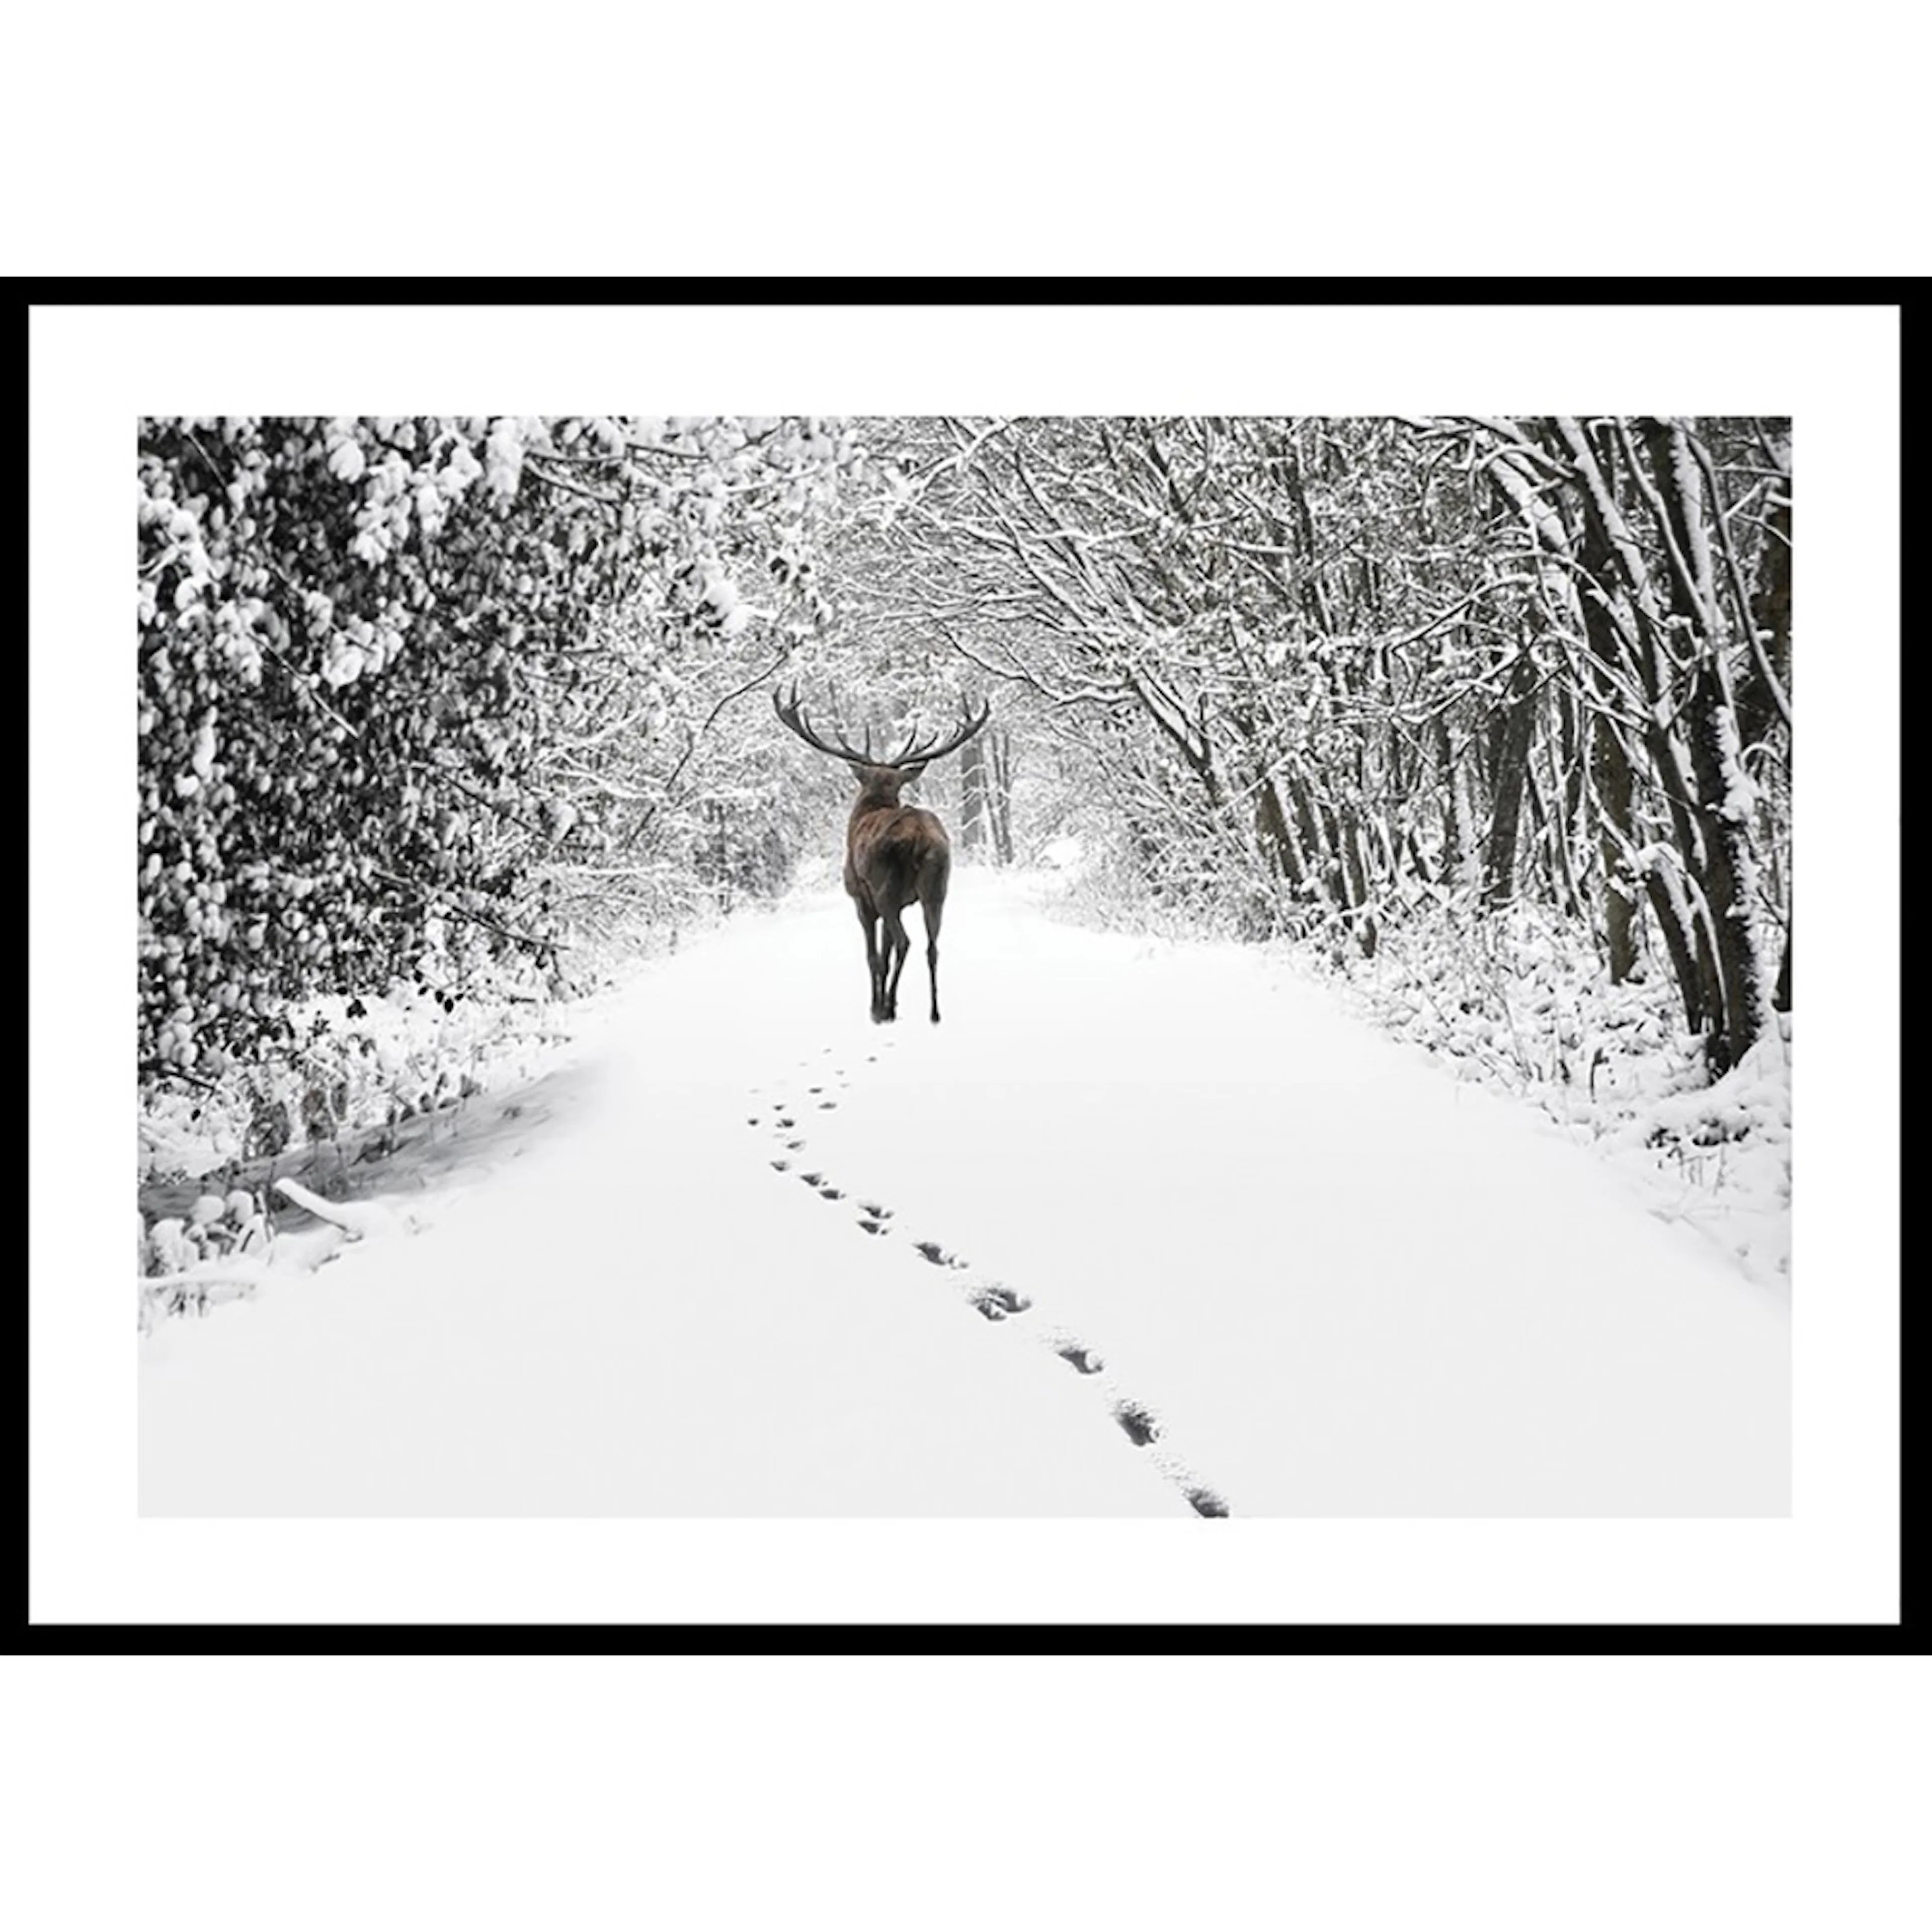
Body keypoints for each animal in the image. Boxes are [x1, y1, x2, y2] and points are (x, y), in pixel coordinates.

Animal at [773, 686, 993, 1024]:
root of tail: (920, 838)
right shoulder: (902, 902)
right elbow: (886, 953)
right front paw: (889, 1003)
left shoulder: (861, 900)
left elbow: (875, 956)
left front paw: (876, 1007)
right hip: (937, 886)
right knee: (932, 947)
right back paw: (934, 1012)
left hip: (884, 886)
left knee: (906, 942)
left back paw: (887, 1008)